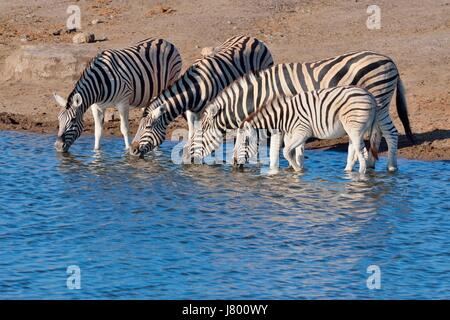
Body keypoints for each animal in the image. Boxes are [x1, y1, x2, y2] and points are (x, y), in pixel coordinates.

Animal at [128, 34, 272, 156]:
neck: (195, 89)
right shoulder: (191, 112)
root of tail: (253, 38)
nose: (132, 150)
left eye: (147, 127)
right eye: (139, 126)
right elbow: (193, 130)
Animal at [232, 86, 380, 174]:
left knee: (361, 152)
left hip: (355, 128)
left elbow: (286, 152)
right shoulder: (293, 135)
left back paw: (361, 175)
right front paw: (298, 171)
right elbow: (298, 154)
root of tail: (370, 95)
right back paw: (347, 171)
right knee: (356, 151)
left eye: (245, 143)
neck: (283, 117)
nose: (233, 163)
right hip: (355, 130)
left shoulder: (302, 133)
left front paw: (298, 170)